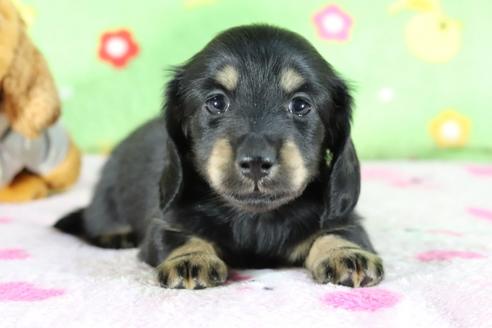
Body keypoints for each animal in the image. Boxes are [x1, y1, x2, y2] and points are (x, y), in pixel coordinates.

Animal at [54, 24, 384, 288]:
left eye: (301, 105)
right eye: (216, 102)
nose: (256, 162)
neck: (255, 217)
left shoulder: (343, 218)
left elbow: (342, 232)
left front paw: (348, 255)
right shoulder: (166, 222)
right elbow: (178, 237)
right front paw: (191, 259)